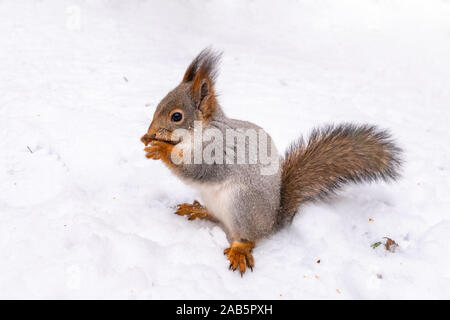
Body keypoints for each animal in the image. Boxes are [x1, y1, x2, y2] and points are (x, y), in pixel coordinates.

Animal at [141, 48, 400, 276]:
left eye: (177, 116)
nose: (149, 133)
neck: (202, 131)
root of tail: (272, 222)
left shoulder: (218, 154)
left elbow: (195, 170)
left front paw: (161, 148)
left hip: (242, 204)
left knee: (248, 237)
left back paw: (240, 250)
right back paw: (198, 209)